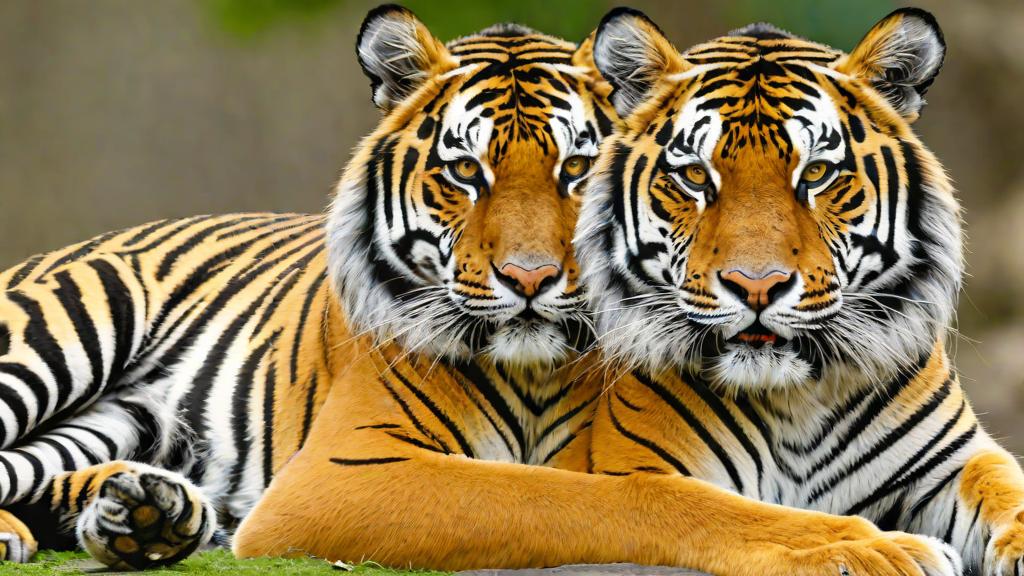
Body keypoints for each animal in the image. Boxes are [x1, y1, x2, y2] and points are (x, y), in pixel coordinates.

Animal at [0, 4, 964, 575]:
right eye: (465, 171)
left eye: (578, 168)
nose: (531, 279)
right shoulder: (342, 473)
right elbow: (595, 499)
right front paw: (868, 546)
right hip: (58, 336)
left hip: (116, 421)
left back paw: (145, 515)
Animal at [576, 6, 1024, 576]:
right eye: (696, 175)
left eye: (817, 172)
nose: (756, 286)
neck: (796, 396)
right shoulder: (640, 475)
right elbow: (750, 516)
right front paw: (884, 550)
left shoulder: (955, 461)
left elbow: (1006, 489)